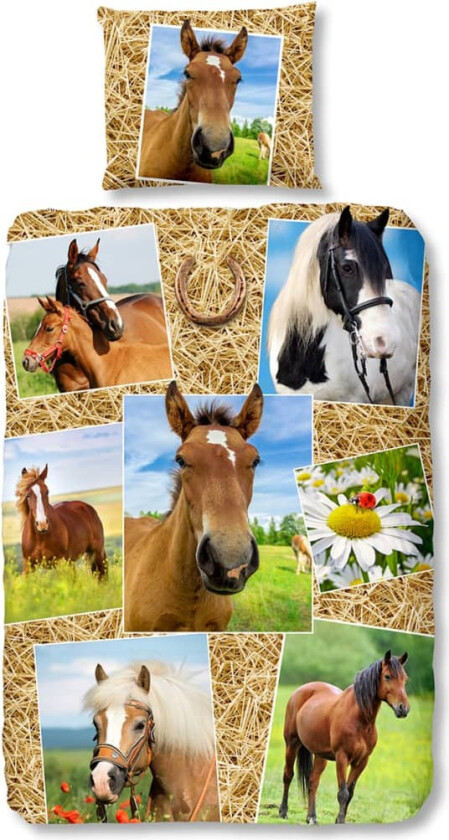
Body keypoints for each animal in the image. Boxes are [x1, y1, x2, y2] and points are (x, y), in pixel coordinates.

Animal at [279, 650, 409, 825]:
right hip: (292, 744)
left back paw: (311, 817)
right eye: (387, 676)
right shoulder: (342, 758)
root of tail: (300, 691)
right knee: (288, 775)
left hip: (320, 755)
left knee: (313, 781)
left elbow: (350, 792)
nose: (403, 709)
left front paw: (339, 819)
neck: (360, 721)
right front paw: (340, 820)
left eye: (405, 679)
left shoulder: (362, 761)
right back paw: (283, 812)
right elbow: (343, 793)